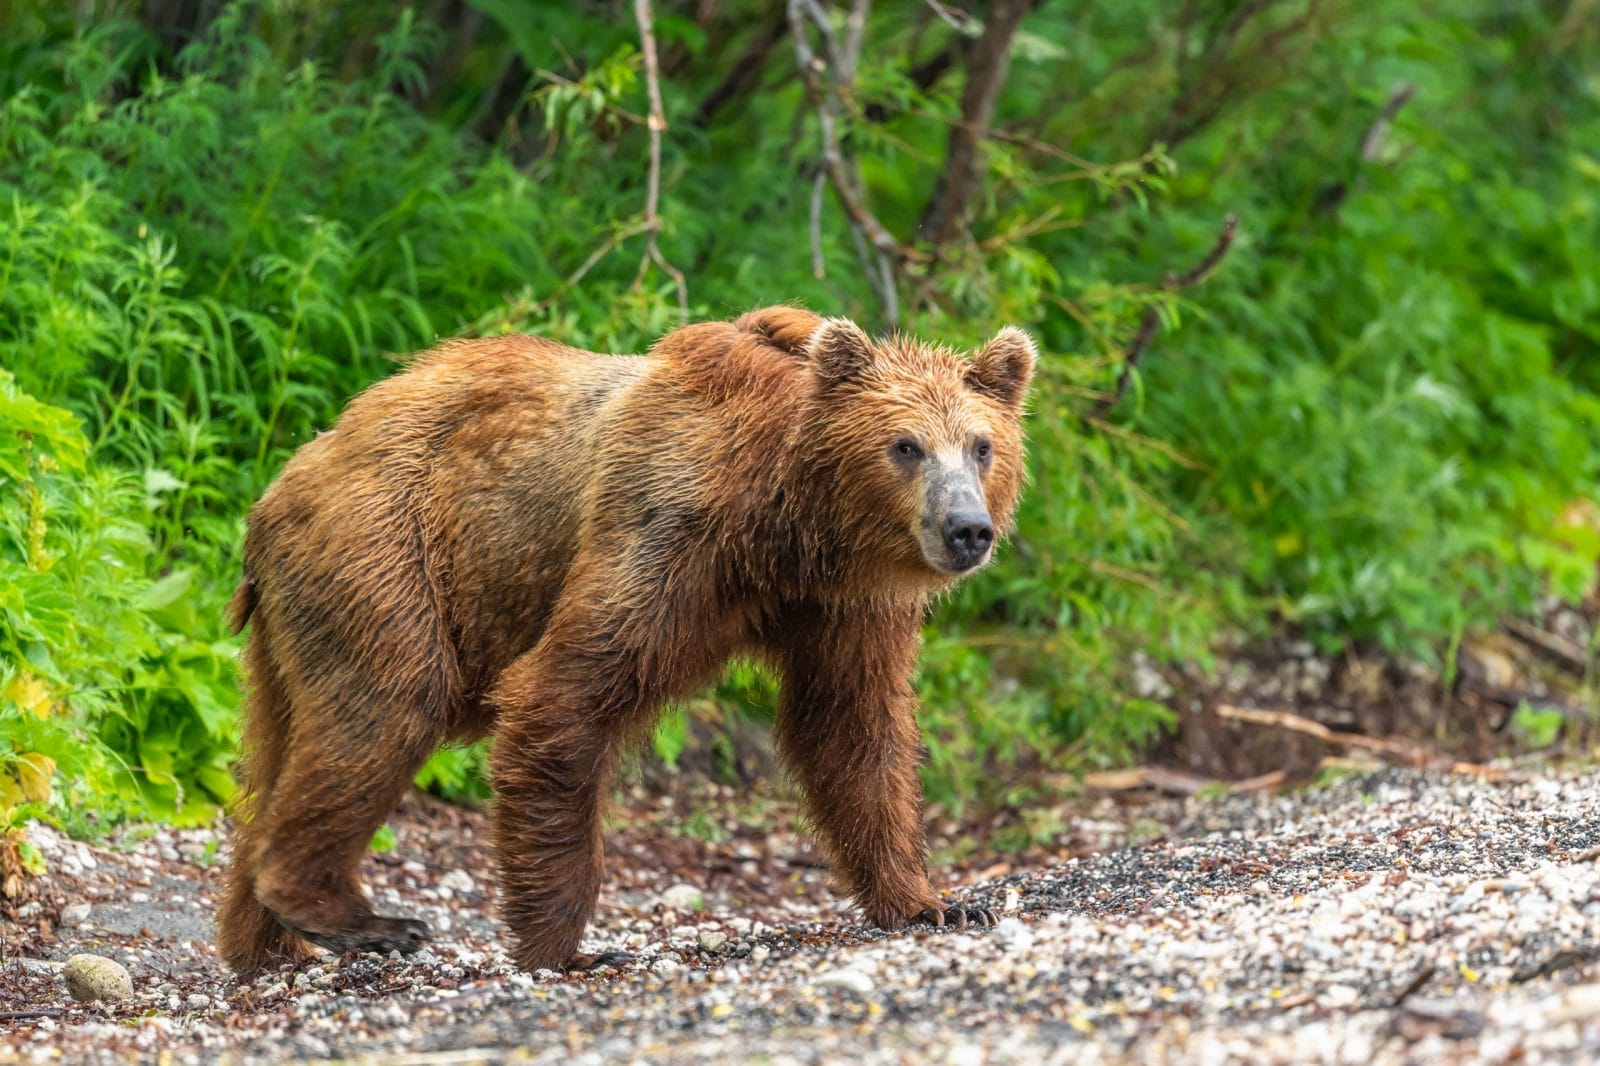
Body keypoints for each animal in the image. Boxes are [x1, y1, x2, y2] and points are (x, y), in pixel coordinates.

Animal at [215, 305, 1035, 976]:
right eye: (906, 446)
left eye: (981, 446)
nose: (967, 529)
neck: (788, 525)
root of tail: (278, 490)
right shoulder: (667, 527)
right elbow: (564, 696)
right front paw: (567, 948)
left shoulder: (843, 605)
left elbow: (852, 729)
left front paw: (934, 900)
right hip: (386, 551)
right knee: (387, 706)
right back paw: (358, 917)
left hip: (303, 614)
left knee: (288, 745)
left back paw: (268, 941)